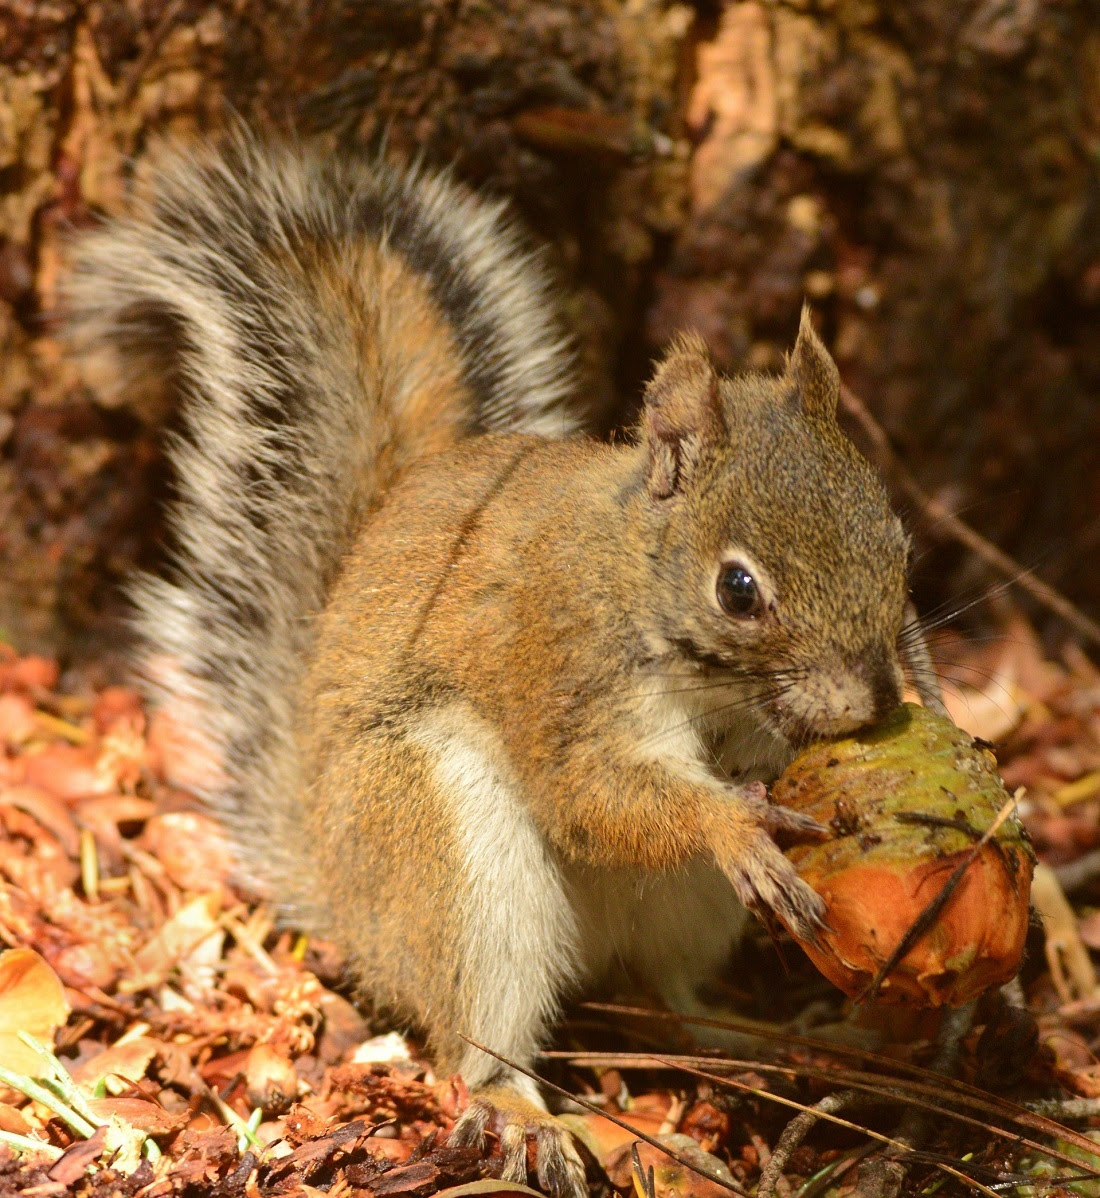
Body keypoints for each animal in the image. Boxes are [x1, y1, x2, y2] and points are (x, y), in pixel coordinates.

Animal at [65, 135, 945, 1197]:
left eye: (897, 541)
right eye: (738, 590)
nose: (873, 702)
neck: (631, 577)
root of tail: (343, 892)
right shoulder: (556, 667)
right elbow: (590, 795)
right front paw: (731, 821)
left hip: (678, 910)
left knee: (667, 993)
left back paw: (768, 1038)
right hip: (452, 848)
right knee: (478, 1035)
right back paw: (519, 1111)